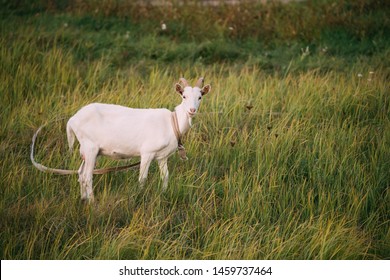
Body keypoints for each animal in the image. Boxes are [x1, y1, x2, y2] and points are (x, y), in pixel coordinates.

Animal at [66, 77, 210, 202]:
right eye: (184, 96)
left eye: (200, 97)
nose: (192, 110)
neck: (172, 123)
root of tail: (72, 120)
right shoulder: (147, 152)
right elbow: (142, 178)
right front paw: (140, 196)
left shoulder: (162, 156)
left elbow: (165, 176)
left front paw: (163, 193)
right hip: (90, 147)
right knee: (87, 176)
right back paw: (92, 202)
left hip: (90, 150)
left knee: (80, 173)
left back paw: (83, 199)